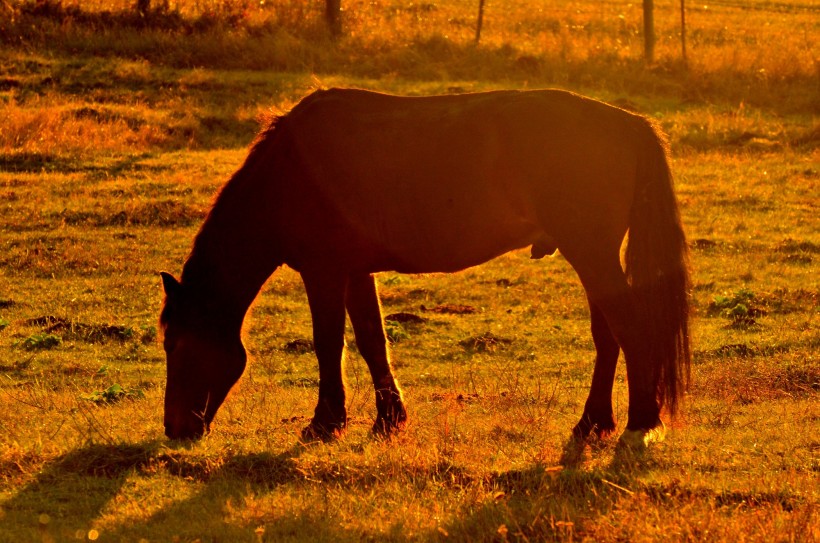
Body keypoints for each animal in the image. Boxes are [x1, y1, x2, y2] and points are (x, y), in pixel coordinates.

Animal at [157, 88, 688, 446]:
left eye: (176, 344)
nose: (174, 429)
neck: (288, 172)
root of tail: (628, 123)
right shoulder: (355, 270)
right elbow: (372, 341)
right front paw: (388, 419)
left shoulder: (323, 271)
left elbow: (328, 344)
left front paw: (325, 422)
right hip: (593, 255)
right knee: (610, 336)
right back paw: (594, 422)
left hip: (591, 252)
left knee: (630, 329)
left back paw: (641, 420)